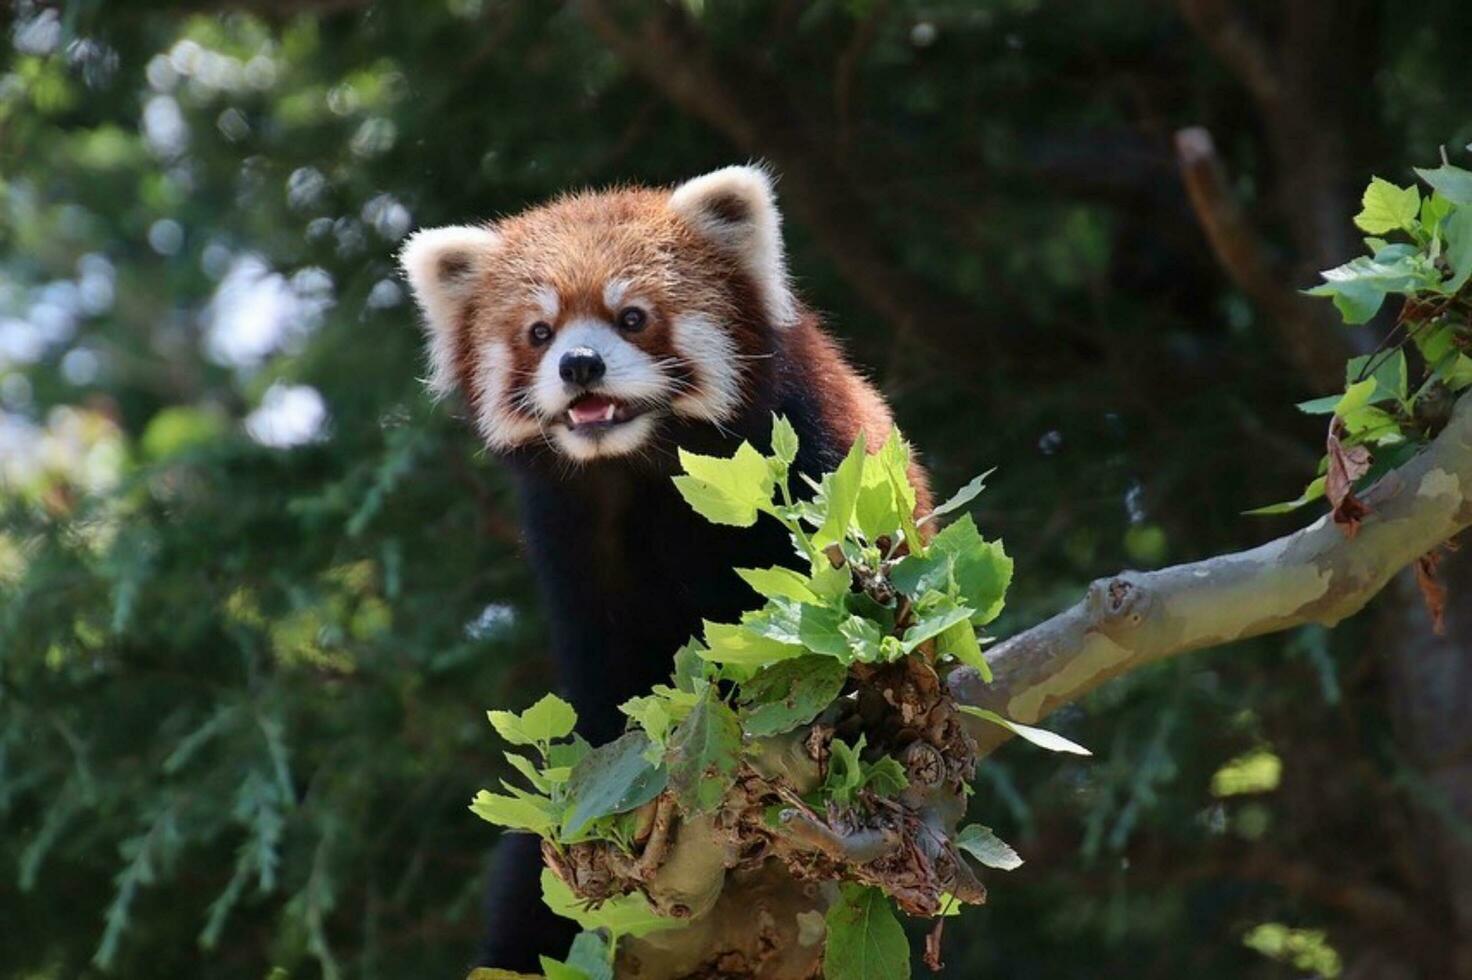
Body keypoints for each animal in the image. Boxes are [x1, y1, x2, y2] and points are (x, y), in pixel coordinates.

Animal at [400, 164, 930, 965]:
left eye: (632, 317)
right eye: (539, 332)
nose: (579, 364)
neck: (643, 468)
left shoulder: (815, 465)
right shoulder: (572, 544)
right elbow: (608, 685)